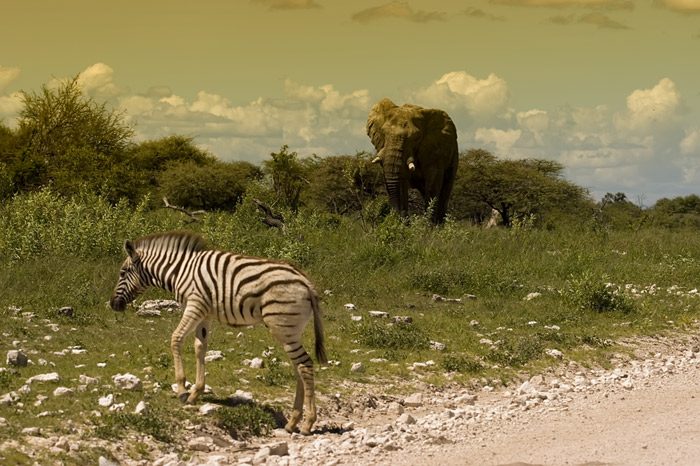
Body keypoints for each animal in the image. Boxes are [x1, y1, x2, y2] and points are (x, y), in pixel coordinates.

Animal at [109, 231, 328, 436]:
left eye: (122, 273)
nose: (113, 305)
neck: (180, 271)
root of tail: (306, 282)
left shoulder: (194, 304)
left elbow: (176, 339)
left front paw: (182, 390)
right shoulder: (205, 313)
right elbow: (200, 347)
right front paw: (195, 393)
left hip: (283, 326)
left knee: (305, 365)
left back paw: (307, 424)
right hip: (290, 331)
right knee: (299, 368)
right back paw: (292, 422)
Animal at [366, 97, 460, 225]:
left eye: (415, 137)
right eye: (384, 133)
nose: (394, 218)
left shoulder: (435, 152)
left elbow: (433, 186)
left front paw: (428, 227)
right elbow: (400, 185)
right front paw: (403, 225)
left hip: (454, 155)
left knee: (445, 190)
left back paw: (440, 225)